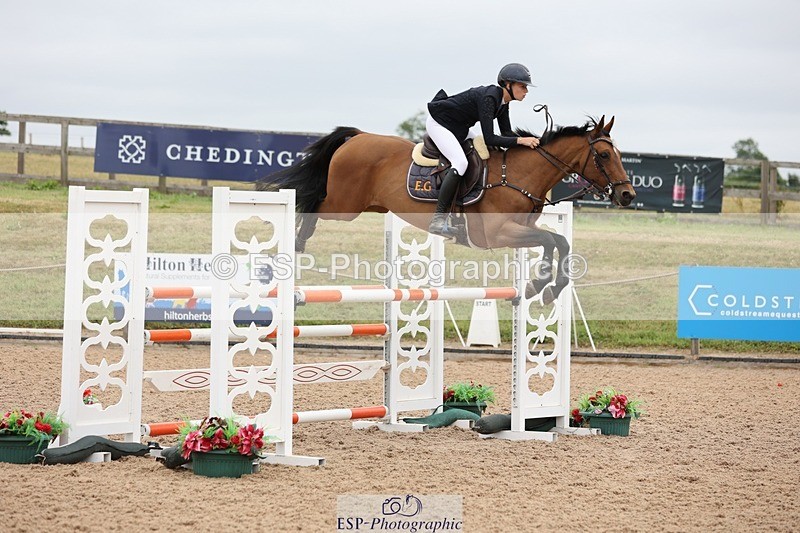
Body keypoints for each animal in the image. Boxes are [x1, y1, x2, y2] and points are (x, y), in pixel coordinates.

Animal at [257, 116, 635, 304]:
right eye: (604, 155)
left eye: (618, 154)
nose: (628, 195)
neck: (518, 174)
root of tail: (359, 135)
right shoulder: (497, 234)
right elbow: (550, 241)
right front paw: (540, 283)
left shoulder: (517, 232)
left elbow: (559, 242)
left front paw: (544, 288)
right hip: (344, 205)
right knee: (311, 204)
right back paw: (293, 247)